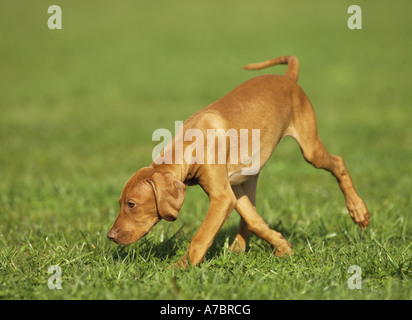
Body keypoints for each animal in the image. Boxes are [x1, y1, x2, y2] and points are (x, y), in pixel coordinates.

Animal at [106, 55, 370, 268]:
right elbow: (253, 219)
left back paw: (358, 211)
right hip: (249, 174)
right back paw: (237, 249)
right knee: (250, 214)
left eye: (131, 204)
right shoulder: (229, 191)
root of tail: (289, 78)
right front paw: (282, 246)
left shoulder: (222, 197)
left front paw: (180, 268)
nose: (110, 236)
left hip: (310, 149)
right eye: (120, 203)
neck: (189, 144)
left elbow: (201, 237)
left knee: (338, 162)